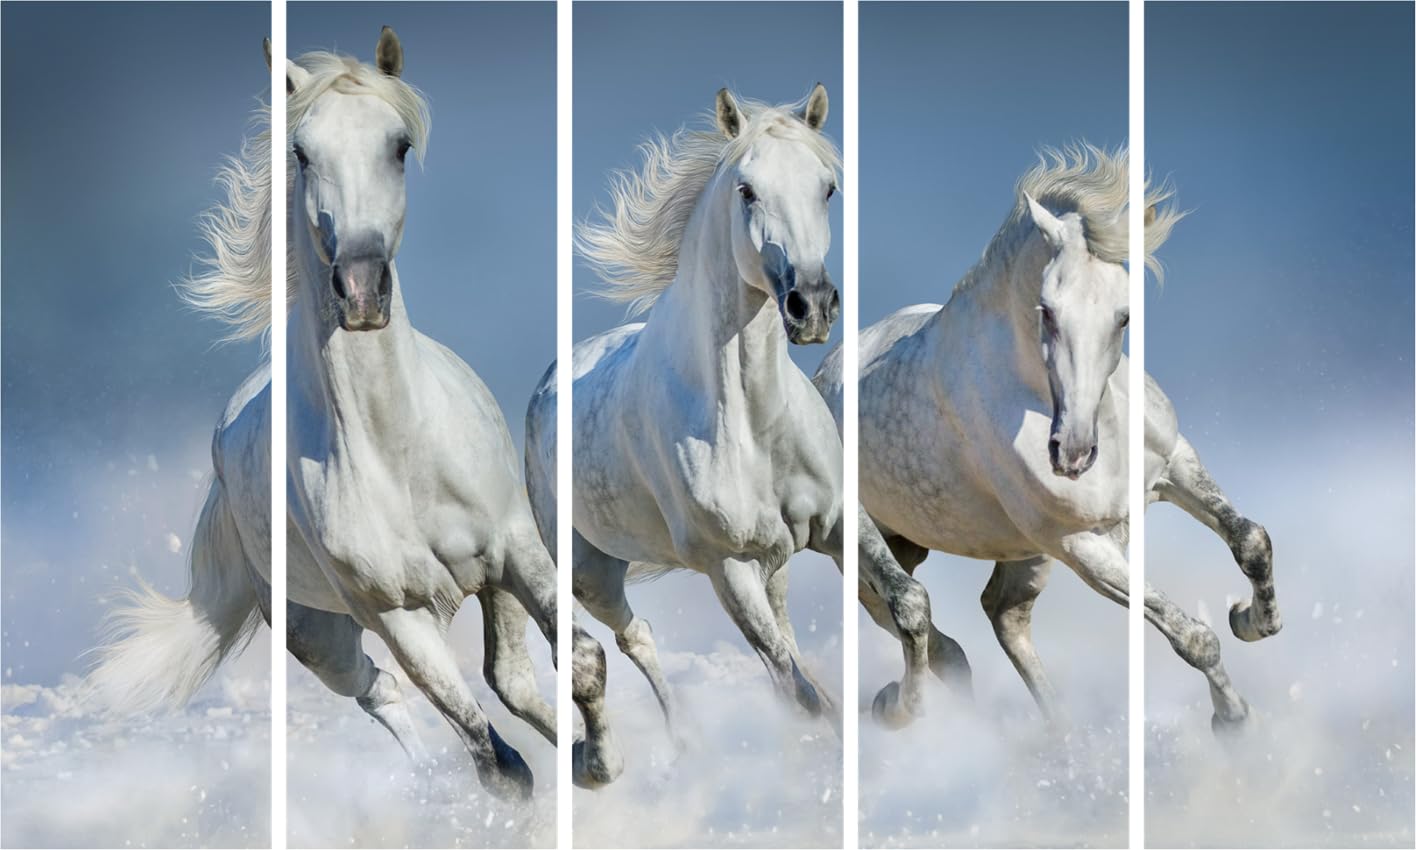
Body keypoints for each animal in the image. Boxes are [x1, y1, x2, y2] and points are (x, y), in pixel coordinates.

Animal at [91, 29, 559, 803]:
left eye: (399, 145)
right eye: (303, 153)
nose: (362, 290)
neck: (400, 452)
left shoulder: (514, 554)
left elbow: (564, 668)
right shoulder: (398, 615)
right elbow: (498, 762)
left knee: (502, 684)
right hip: (317, 634)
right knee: (381, 693)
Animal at [527, 85, 873, 785]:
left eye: (827, 188)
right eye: (747, 190)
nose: (812, 306)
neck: (752, 419)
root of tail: (548, 383)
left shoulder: (839, 523)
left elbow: (909, 607)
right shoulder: (727, 566)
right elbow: (799, 693)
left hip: (774, 560)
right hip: (591, 572)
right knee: (633, 638)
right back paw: (663, 751)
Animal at [814, 146, 1280, 733]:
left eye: (1125, 317)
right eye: (1048, 311)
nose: (1073, 454)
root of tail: (821, 377)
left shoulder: (1174, 466)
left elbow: (1251, 541)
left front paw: (1252, 620)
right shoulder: (1077, 543)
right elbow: (1192, 636)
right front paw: (1234, 720)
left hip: (1000, 551)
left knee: (1001, 614)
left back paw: (1059, 734)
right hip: (865, 545)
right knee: (911, 615)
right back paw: (900, 706)